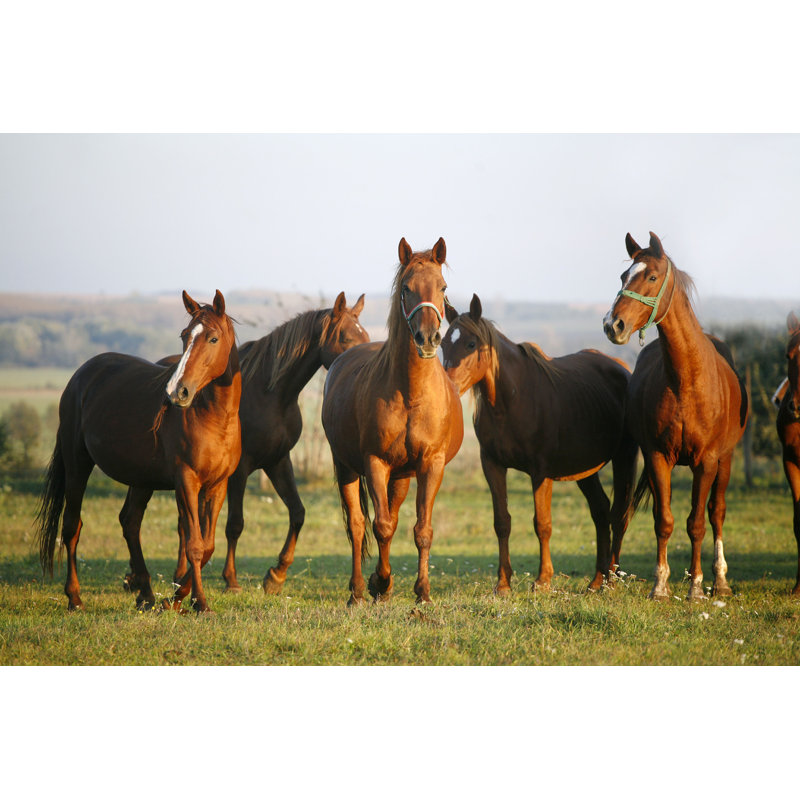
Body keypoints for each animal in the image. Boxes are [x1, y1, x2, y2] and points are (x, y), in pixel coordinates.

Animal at [35, 290, 241, 613]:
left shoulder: (217, 485)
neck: (215, 418)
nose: (177, 391)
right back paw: (75, 597)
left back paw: (145, 594)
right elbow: (194, 544)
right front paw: (199, 602)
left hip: (142, 479)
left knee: (130, 523)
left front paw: (177, 597)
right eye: (184, 336)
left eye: (213, 338)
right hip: (77, 464)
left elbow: (207, 545)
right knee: (71, 527)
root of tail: (81, 375)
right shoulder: (186, 481)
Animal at [119, 292, 368, 607]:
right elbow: (234, 524)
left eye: (365, 336)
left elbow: (297, 513)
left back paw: (163, 577)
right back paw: (140, 579)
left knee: (177, 524)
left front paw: (276, 575)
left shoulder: (278, 461)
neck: (271, 393)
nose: (361, 364)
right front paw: (231, 581)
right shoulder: (239, 470)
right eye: (346, 338)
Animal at [321, 237, 463, 605]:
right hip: (347, 467)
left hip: (401, 476)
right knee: (358, 525)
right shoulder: (375, 462)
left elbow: (422, 530)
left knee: (394, 516)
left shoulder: (430, 465)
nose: (428, 338)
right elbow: (380, 526)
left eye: (442, 287)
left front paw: (422, 592)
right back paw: (359, 590)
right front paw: (381, 582)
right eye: (406, 288)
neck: (411, 393)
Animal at [441, 294, 638, 593]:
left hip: (624, 458)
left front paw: (543, 579)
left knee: (619, 515)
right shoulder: (493, 466)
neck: (513, 399)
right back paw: (596, 581)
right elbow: (502, 522)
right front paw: (503, 583)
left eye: (471, 344)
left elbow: (542, 524)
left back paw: (611, 581)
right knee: (601, 511)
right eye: (442, 343)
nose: (447, 388)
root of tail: (622, 369)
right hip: (586, 469)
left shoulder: (540, 472)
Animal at [603, 231, 748, 600]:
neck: (687, 380)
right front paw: (661, 585)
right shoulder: (658, 457)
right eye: (623, 276)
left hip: (726, 459)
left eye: (652, 277)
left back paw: (720, 580)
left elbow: (697, 522)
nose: (613, 324)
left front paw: (696, 586)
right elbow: (664, 520)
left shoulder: (707, 461)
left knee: (717, 513)